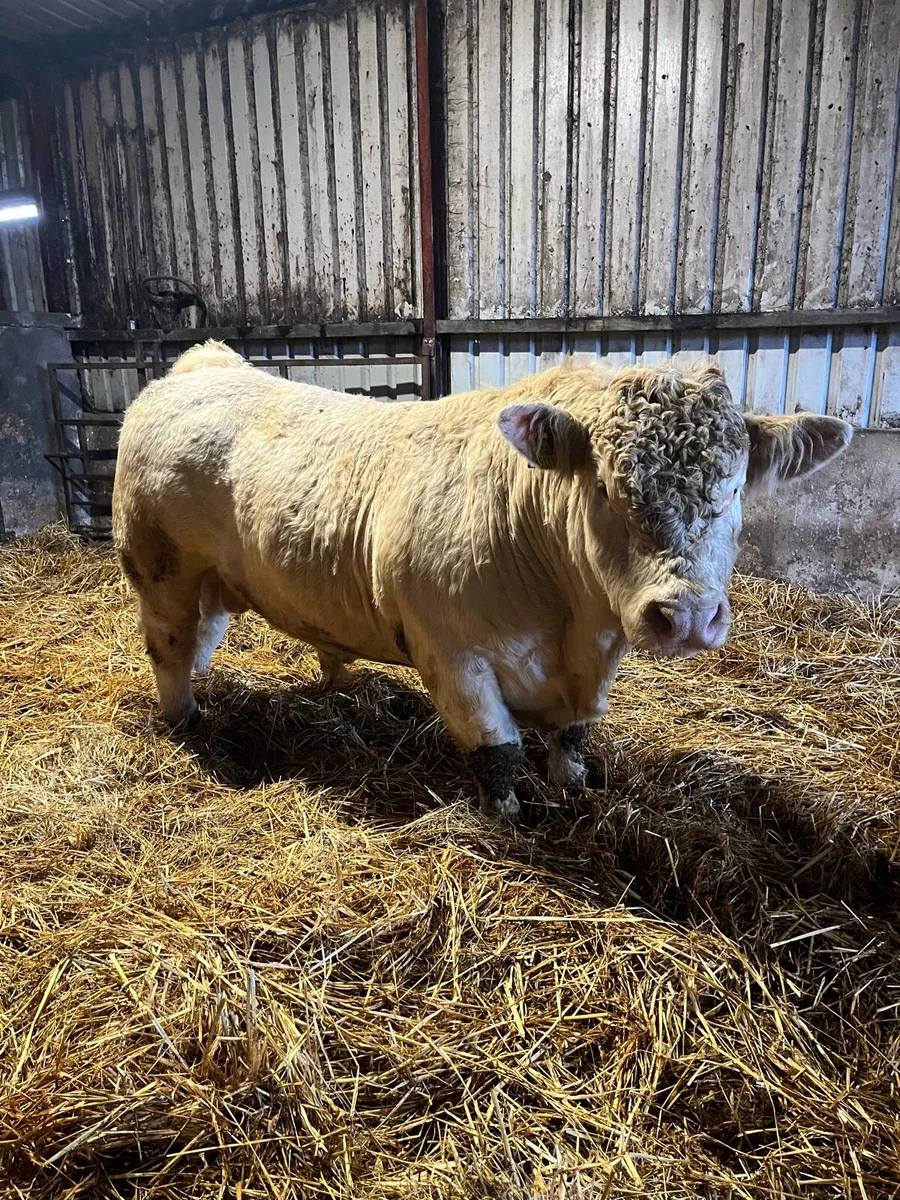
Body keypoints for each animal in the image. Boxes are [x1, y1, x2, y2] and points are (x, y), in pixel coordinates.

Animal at [112, 341, 851, 821]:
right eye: (607, 490)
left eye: (735, 489)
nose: (688, 616)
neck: (568, 625)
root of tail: (205, 363)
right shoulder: (453, 656)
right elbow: (497, 750)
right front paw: (512, 820)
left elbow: (572, 740)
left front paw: (573, 791)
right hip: (159, 567)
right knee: (169, 646)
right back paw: (186, 720)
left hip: (212, 582)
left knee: (203, 635)